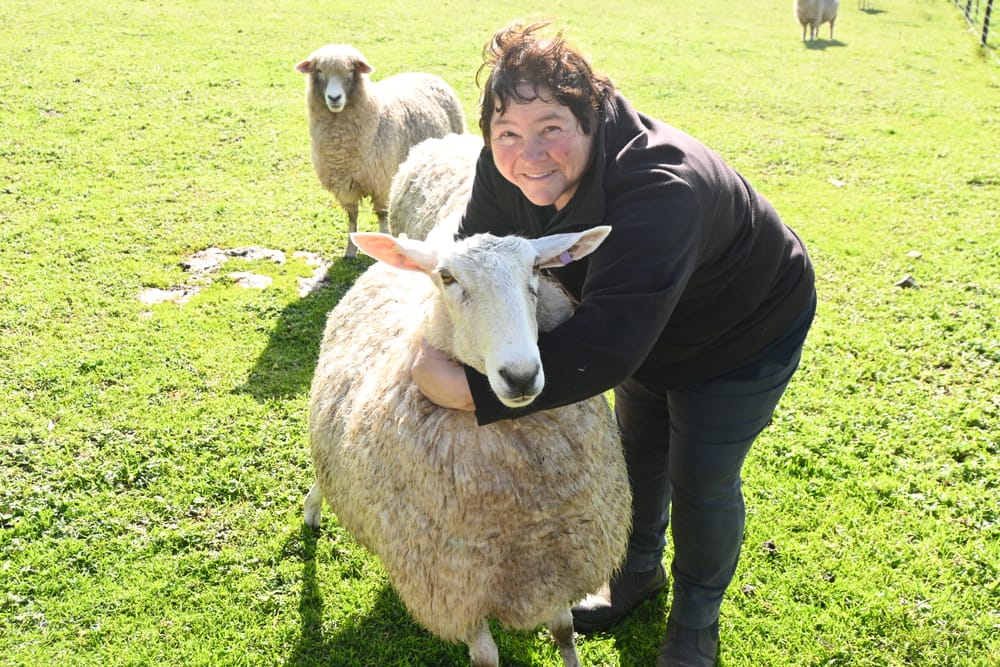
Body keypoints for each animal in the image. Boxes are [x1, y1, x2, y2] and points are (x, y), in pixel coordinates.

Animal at [295, 44, 466, 257]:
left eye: (350, 71)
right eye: (319, 71)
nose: (334, 98)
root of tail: (425, 74)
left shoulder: (382, 181)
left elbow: (382, 215)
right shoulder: (345, 185)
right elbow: (352, 217)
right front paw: (350, 250)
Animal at [304, 141, 631, 666]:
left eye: (537, 270)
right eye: (447, 277)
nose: (521, 375)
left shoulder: (555, 564)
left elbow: (564, 632)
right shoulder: (458, 589)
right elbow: (486, 659)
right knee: (323, 470)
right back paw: (313, 510)